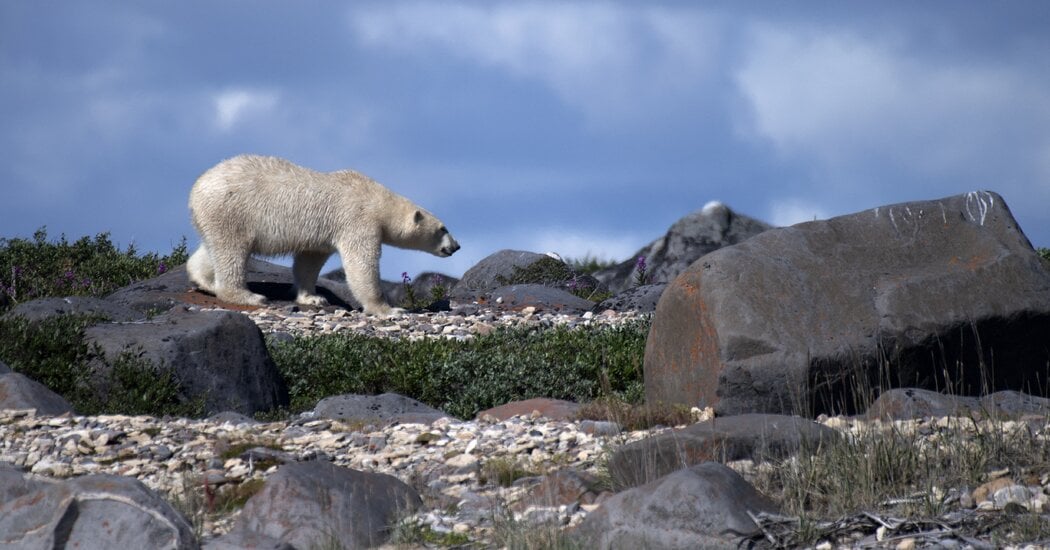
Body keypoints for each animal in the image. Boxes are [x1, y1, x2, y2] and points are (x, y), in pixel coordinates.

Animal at [188, 156, 459, 314]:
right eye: (443, 228)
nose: (456, 246)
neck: (377, 199)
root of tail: (196, 189)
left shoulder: (322, 234)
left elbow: (309, 261)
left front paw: (313, 298)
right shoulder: (358, 220)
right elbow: (362, 263)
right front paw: (388, 309)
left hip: (217, 217)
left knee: (213, 249)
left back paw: (206, 281)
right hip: (233, 211)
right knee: (232, 252)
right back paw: (249, 296)